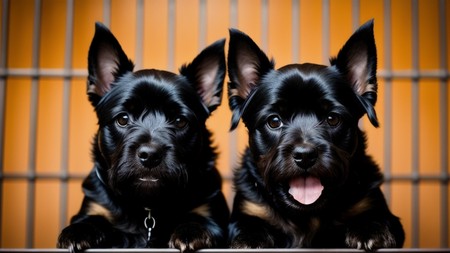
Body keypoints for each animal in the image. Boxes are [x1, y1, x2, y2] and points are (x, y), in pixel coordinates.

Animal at [56, 22, 230, 252]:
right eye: (123, 119)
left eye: (180, 121)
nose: (150, 155)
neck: (148, 209)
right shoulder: (96, 205)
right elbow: (90, 219)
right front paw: (78, 231)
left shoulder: (210, 211)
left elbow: (201, 220)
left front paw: (191, 231)